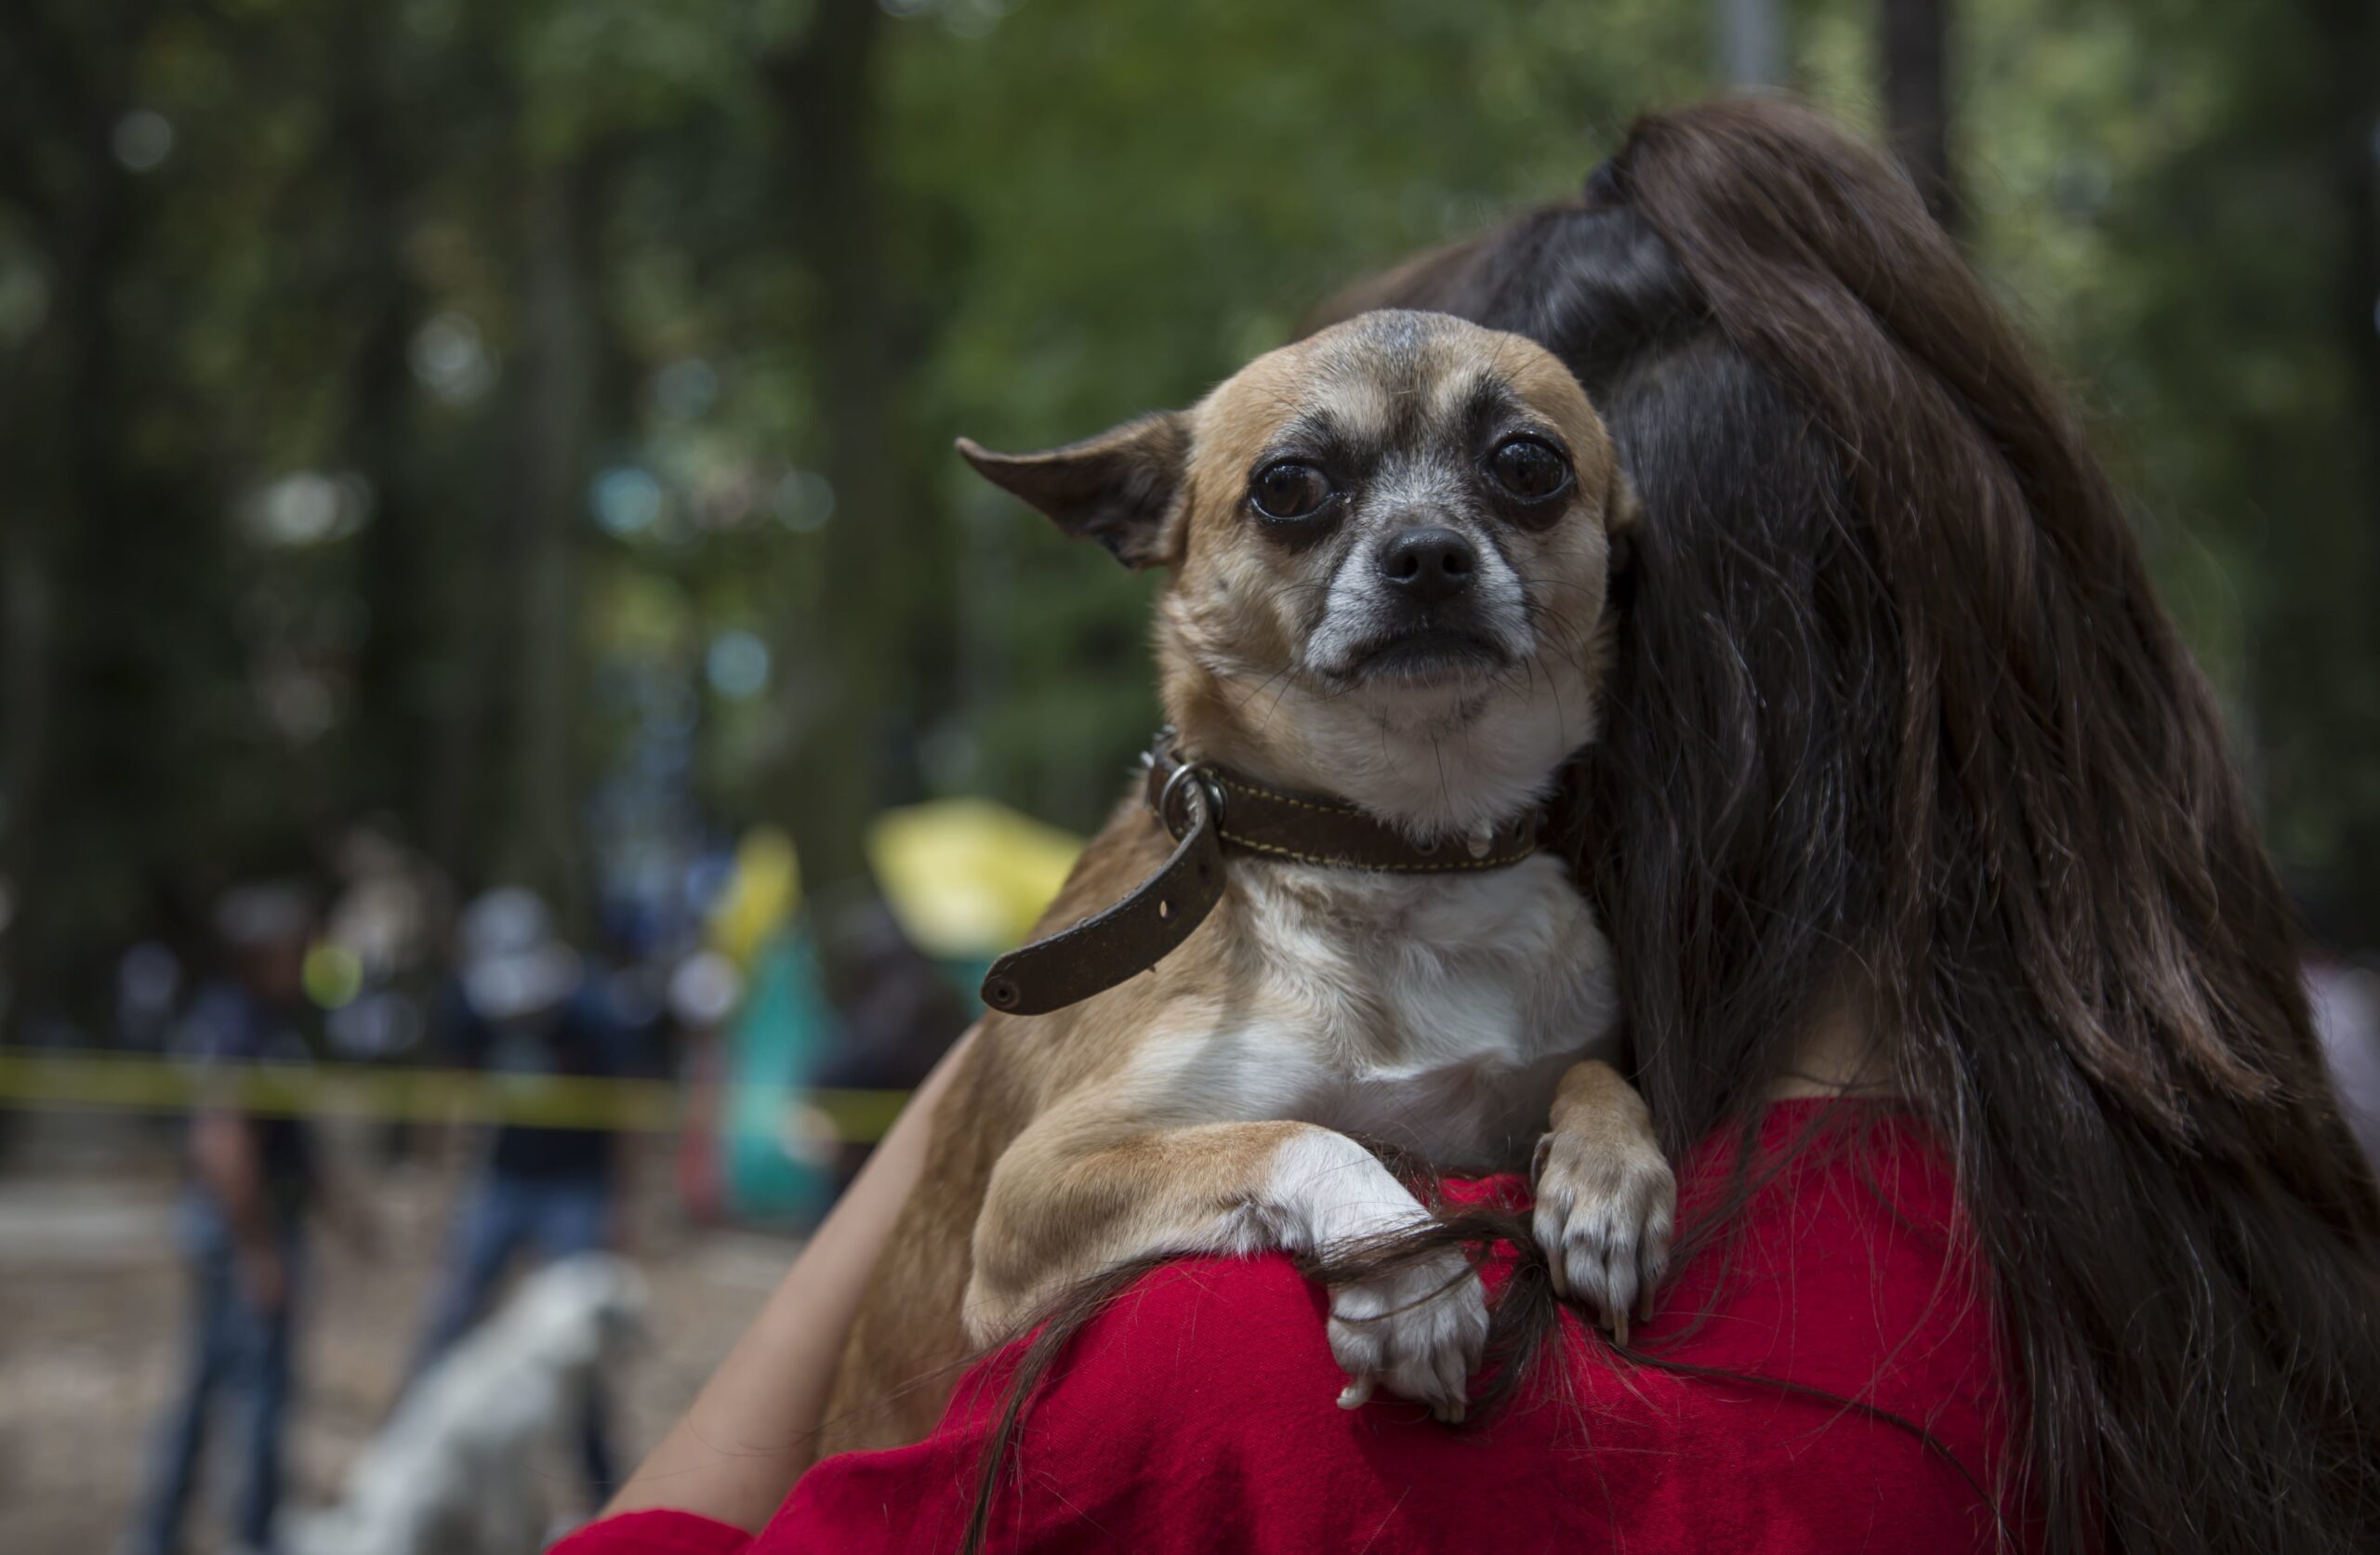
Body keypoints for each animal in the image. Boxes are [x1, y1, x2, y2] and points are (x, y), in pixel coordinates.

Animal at [282, 1255, 647, 1555]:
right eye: (615, 1304)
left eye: (612, 1273)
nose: (647, 1303)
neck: (539, 1360)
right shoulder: (505, 1461)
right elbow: (511, 1521)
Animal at [833, 311, 1675, 1455]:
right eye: (1288, 485)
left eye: (1528, 464)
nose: (1428, 554)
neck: (1391, 853)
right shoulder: (1035, 1186)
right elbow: (1303, 1134)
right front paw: (1407, 1273)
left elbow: (1597, 1071)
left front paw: (1609, 1179)